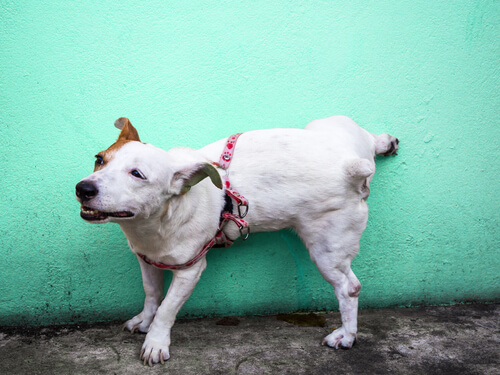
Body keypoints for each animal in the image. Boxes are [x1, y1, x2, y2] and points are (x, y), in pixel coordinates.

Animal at [75, 116, 398, 366]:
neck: (155, 222)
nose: (83, 188)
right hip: (329, 127)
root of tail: (349, 165)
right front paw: (145, 320)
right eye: (99, 159)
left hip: (326, 249)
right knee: (366, 136)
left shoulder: (190, 269)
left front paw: (156, 341)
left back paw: (347, 335)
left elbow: (167, 308)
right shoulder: (147, 259)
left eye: (137, 174)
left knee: (349, 288)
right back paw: (385, 142)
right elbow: (152, 294)